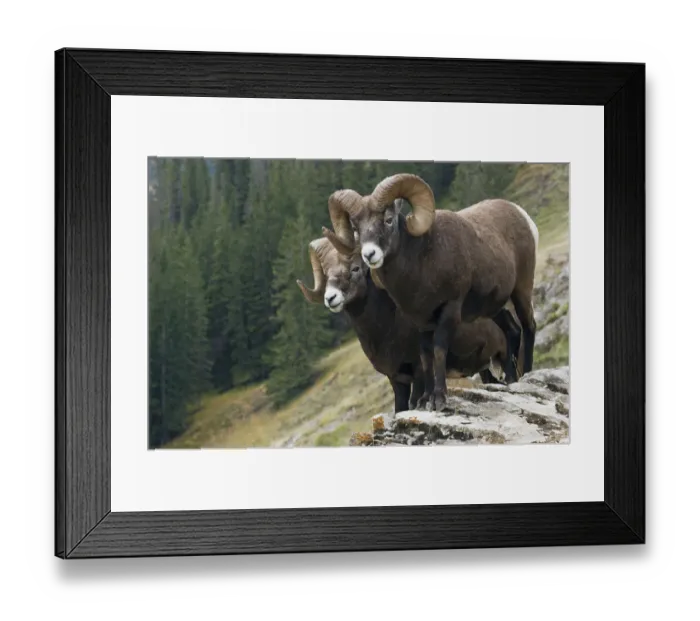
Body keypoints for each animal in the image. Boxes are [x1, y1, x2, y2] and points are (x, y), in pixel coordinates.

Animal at [295, 234, 517, 414]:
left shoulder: (418, 371)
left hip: (503, 355)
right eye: (327, 275)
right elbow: (400, 409)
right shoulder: (397, 379)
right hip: (485, 368)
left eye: (356, 268)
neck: (386, 328)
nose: (331, 298)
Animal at [327, 173, 538, 412]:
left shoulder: (449, 311)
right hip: (494, 308)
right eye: (356, 227)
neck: (421, 264)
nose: (370, 254)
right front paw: (425, 400)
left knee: (529, 326)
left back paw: (527, 373)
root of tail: (520, 214)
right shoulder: (423, 323)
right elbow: (427, 357)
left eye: (388, 219)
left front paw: (438, 399)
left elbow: (438, 351)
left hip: (521, 290)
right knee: (512, 330)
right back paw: (511, 379)